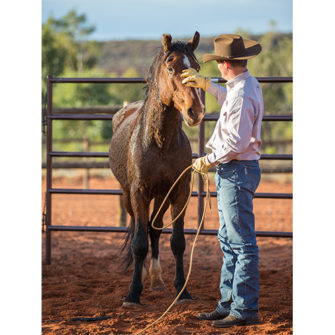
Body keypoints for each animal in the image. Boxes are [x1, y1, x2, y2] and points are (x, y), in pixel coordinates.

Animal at [109, 31, 205, 308]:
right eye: (171, 67)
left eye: (197, 68)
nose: (195, 111)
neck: (160, 142)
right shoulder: (139, 193)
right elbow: (139, 242)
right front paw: (133, 294)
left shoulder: (179, 192)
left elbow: (177, 241)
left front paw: (182, 291)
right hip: (128, 196)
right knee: (138, 230)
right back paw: (142, 277)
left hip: (161, 196)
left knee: (155, 228)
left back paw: (156, 279)